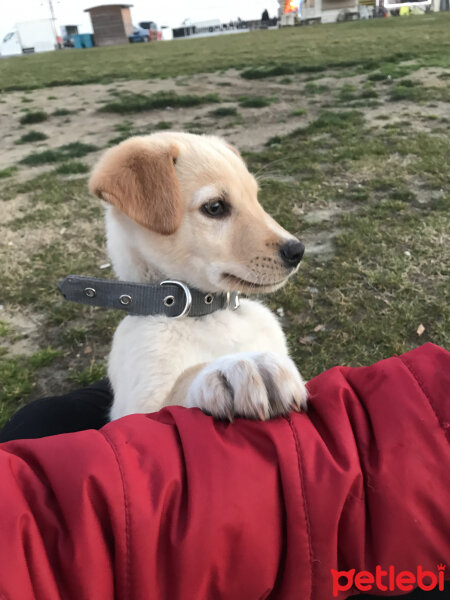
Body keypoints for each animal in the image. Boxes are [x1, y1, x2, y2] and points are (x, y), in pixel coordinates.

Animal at [89, 133, 306, 420]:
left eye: (256, 198)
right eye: (215, 207)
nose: (298, 251)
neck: (209, 315)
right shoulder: (135, 406)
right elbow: (178, 391)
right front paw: (236, 367)